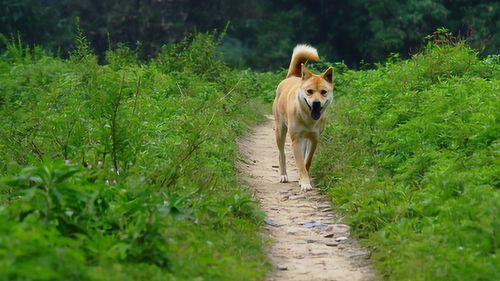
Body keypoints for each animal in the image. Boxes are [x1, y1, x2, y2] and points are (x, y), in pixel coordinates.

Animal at [272, 44, 334, 190]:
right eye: (309, 91)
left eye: (323, 92)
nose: (316, 103)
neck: (308, 119)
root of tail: (292, 76)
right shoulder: (295, 139)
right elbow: (300, 163)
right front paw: (305, 183)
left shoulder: (314, 139)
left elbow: (307, 161)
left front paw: (303, 180)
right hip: (280, 131)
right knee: (281, 153)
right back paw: (283, 175)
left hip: (305, 138)